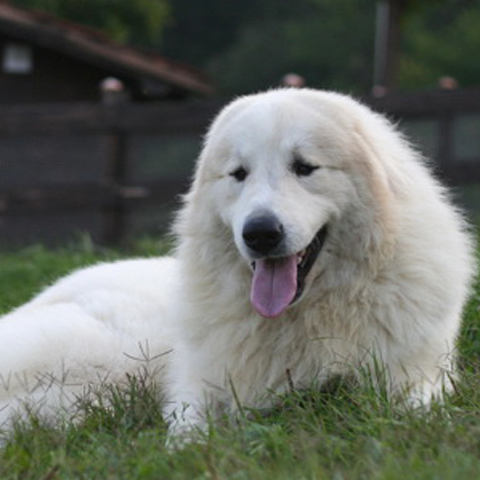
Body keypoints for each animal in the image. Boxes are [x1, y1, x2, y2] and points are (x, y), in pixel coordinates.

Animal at [0, 89, 474, 436]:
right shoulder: (197, 385)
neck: (306, 317)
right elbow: (189, 428)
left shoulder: (417, 374)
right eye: (238, 174)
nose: (260, 233)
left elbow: (412, 413)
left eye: (305, 167)